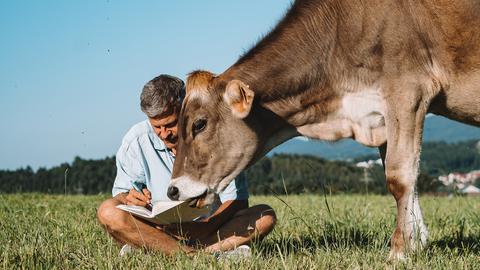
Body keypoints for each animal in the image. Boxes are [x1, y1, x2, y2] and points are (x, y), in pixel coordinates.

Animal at [166, 0, 480, 262]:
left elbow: (399, 177)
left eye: (199, 124)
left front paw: (399, 252)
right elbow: (406, 176)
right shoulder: (380, 115)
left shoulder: (407, 91)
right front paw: (417, 243)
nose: (173, 189)